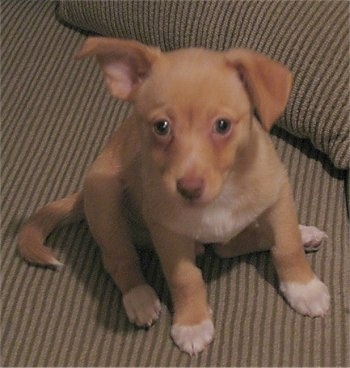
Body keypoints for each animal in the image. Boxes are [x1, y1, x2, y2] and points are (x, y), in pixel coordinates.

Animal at [18, 36, 330, 354]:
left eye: (222, 125)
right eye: (161, 127)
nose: (188, 188)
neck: (222, 194)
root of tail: (82, 194)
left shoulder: (278, 197)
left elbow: (286, 246)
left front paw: (304, 288)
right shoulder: (168, 234)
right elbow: (185, 279)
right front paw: (192, 323)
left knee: (231, 246)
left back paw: (304, 233)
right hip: (104, 199)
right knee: (118, 259)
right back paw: (139, 297)